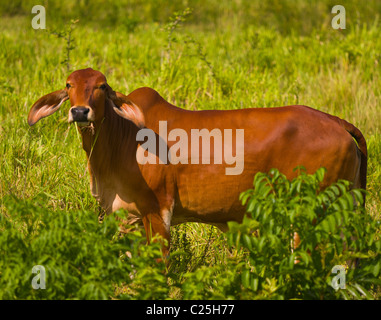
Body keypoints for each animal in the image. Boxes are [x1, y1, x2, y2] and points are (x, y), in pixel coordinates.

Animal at [26, 69, 366, 256]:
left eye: (102, 85)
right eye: (68, 84)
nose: (80, 112)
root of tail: (336, 122)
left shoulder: (159, 209)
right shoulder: (125, 216)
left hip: (312, 213)